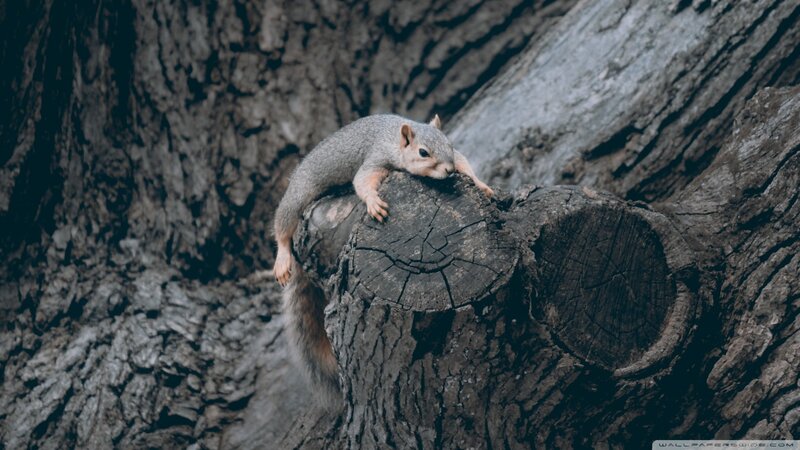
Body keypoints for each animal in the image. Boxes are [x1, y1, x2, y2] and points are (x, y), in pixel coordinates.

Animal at [272, 114, 493, 405]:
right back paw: (282, 259)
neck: (395, 140)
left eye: (449, 143)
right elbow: (363, 180)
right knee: (282, 228)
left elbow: (464, 161)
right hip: (297, 196)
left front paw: (481, 184)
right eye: (423, 152)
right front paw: (373, 202)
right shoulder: (377, 156)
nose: (448, 171)